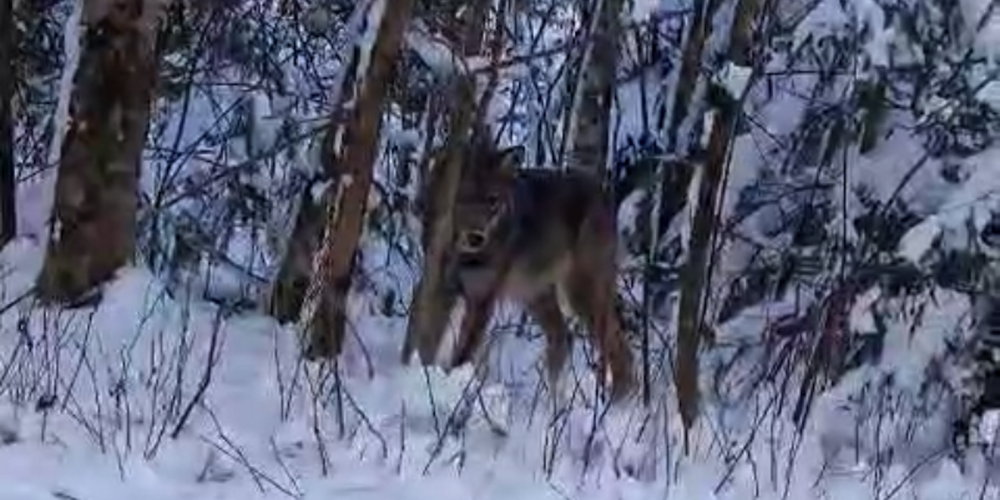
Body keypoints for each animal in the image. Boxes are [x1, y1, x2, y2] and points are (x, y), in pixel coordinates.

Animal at [442, 143, 635, 402]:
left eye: (492, 201)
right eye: (463, 198)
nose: (476, 237)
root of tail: (605, 195)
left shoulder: (482, 299)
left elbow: (463, 351)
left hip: (578, 296)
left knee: (618, 347)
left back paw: (614, 403)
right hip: (537, 295)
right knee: (564, 336)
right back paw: (554, 402)